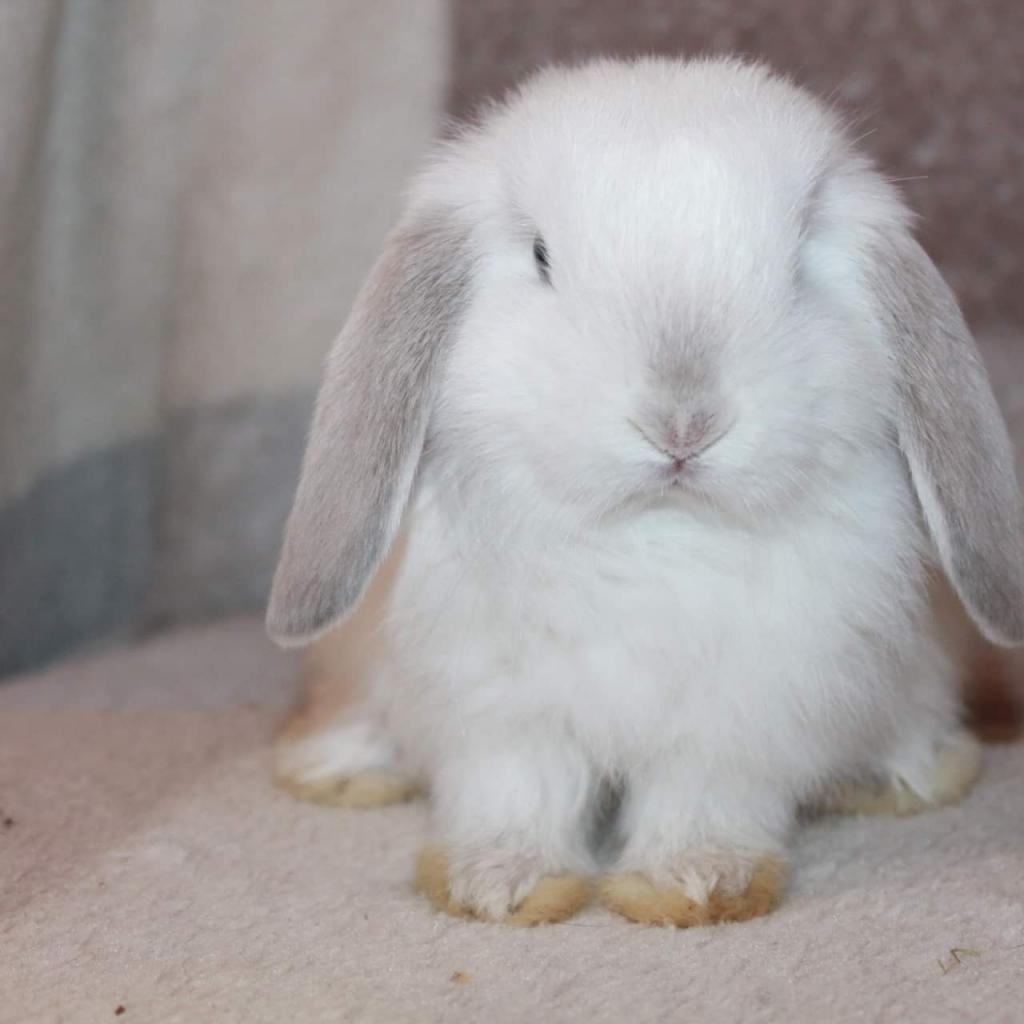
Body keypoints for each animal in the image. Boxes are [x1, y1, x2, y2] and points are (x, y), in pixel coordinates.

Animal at [262, 58, 1024, 929]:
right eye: (541, 256)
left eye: (798, 258)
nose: (684, 421)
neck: (655, 535)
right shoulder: (501, 712)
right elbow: (518, 792)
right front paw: (501, 885)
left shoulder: (742, 718)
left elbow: (701, 798)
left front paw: (695, 884)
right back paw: (340, 769)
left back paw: (903, 776)